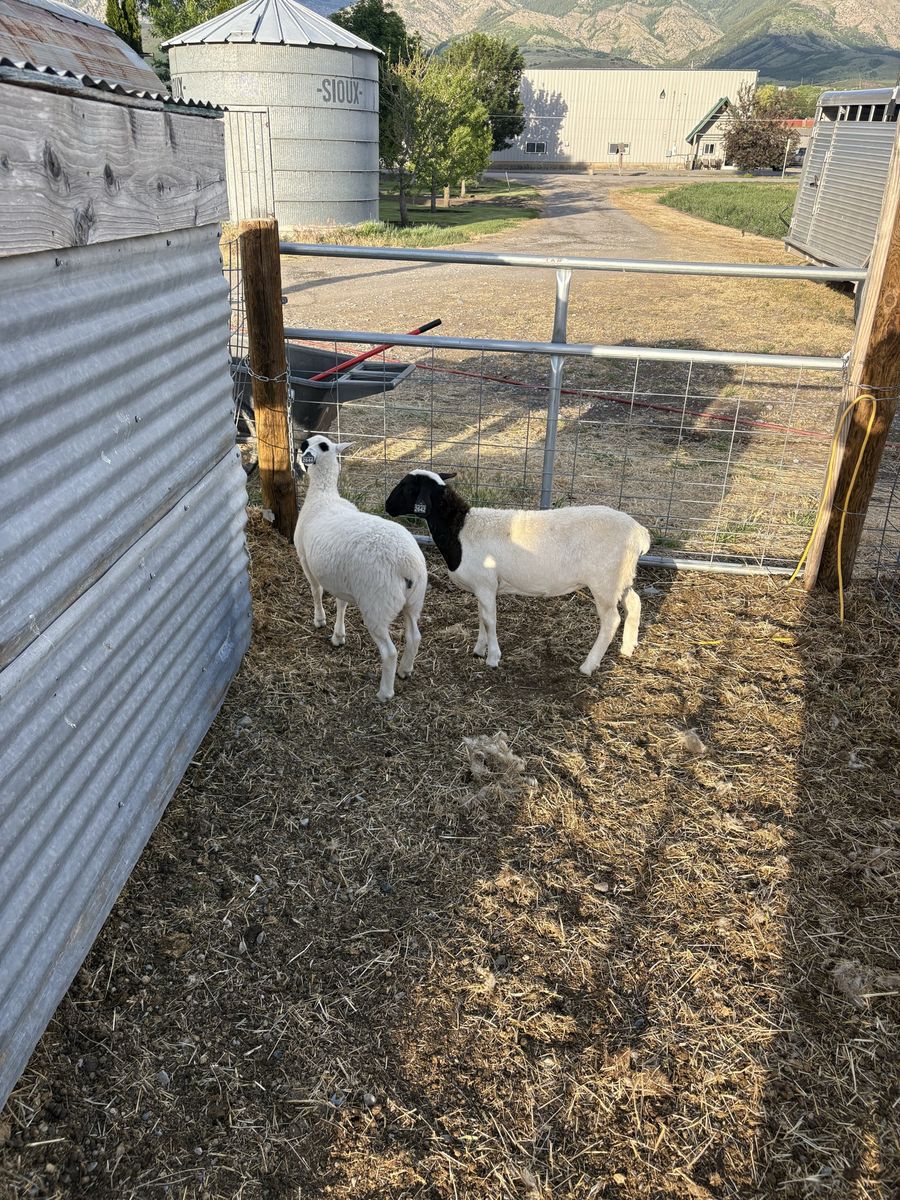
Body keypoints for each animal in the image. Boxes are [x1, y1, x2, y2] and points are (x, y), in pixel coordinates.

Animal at [294, 436, 428, 701]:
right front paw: (338, 636)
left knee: (389, 652)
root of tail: (406, 562)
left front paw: (319, 620)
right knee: (414, 636)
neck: (322, 494)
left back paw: (385, 692)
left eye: (308, 445)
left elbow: (316, 592)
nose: (299, 451)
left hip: (377, 606)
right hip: (413, 601)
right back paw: (405, 670)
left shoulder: (305, 560)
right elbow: (341, 604)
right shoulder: (340, 578)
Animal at [385, 471, 650, 675]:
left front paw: (493, 658)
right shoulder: (484, 587)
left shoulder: (485, 585)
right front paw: (479, 649)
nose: (387, 506)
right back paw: (628, 647)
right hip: (622, 578)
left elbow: (490, 620)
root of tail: (640, 533)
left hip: (604, 582)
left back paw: (588, 665)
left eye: (407, 487)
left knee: (611, 620)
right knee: (635, 603)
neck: (459, 529)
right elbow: (482, 617)